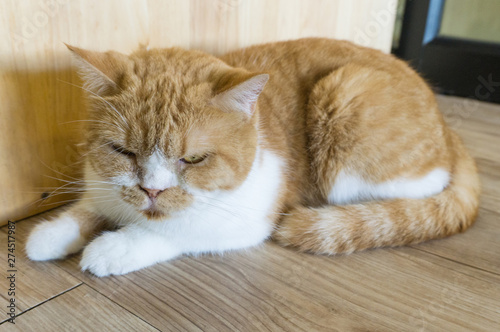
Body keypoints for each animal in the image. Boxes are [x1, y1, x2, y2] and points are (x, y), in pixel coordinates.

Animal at [25, 38, 478, 278]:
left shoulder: (247, 218)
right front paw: (51, 233)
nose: (151, 190)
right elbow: (86, 209)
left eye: (194, 159)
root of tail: (446, 125)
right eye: (123, 151)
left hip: (347, 103)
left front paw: (114, 247)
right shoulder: (102, 187)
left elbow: (175, 228)